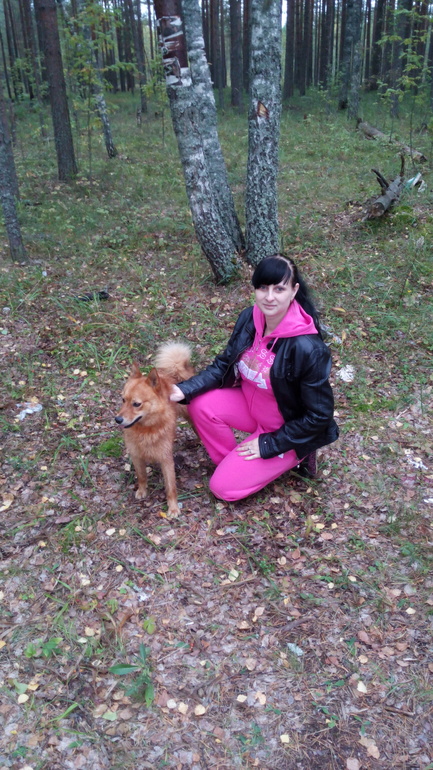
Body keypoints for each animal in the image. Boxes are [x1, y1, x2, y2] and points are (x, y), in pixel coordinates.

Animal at [115, 342, 193, 516]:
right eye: (123, 400)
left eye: (136, 404)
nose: (117, 419)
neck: (146, 430)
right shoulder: (136, 455)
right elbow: (141, 476)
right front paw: (142, 490)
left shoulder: (166, 459)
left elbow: (171, 487)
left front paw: (173, 507)